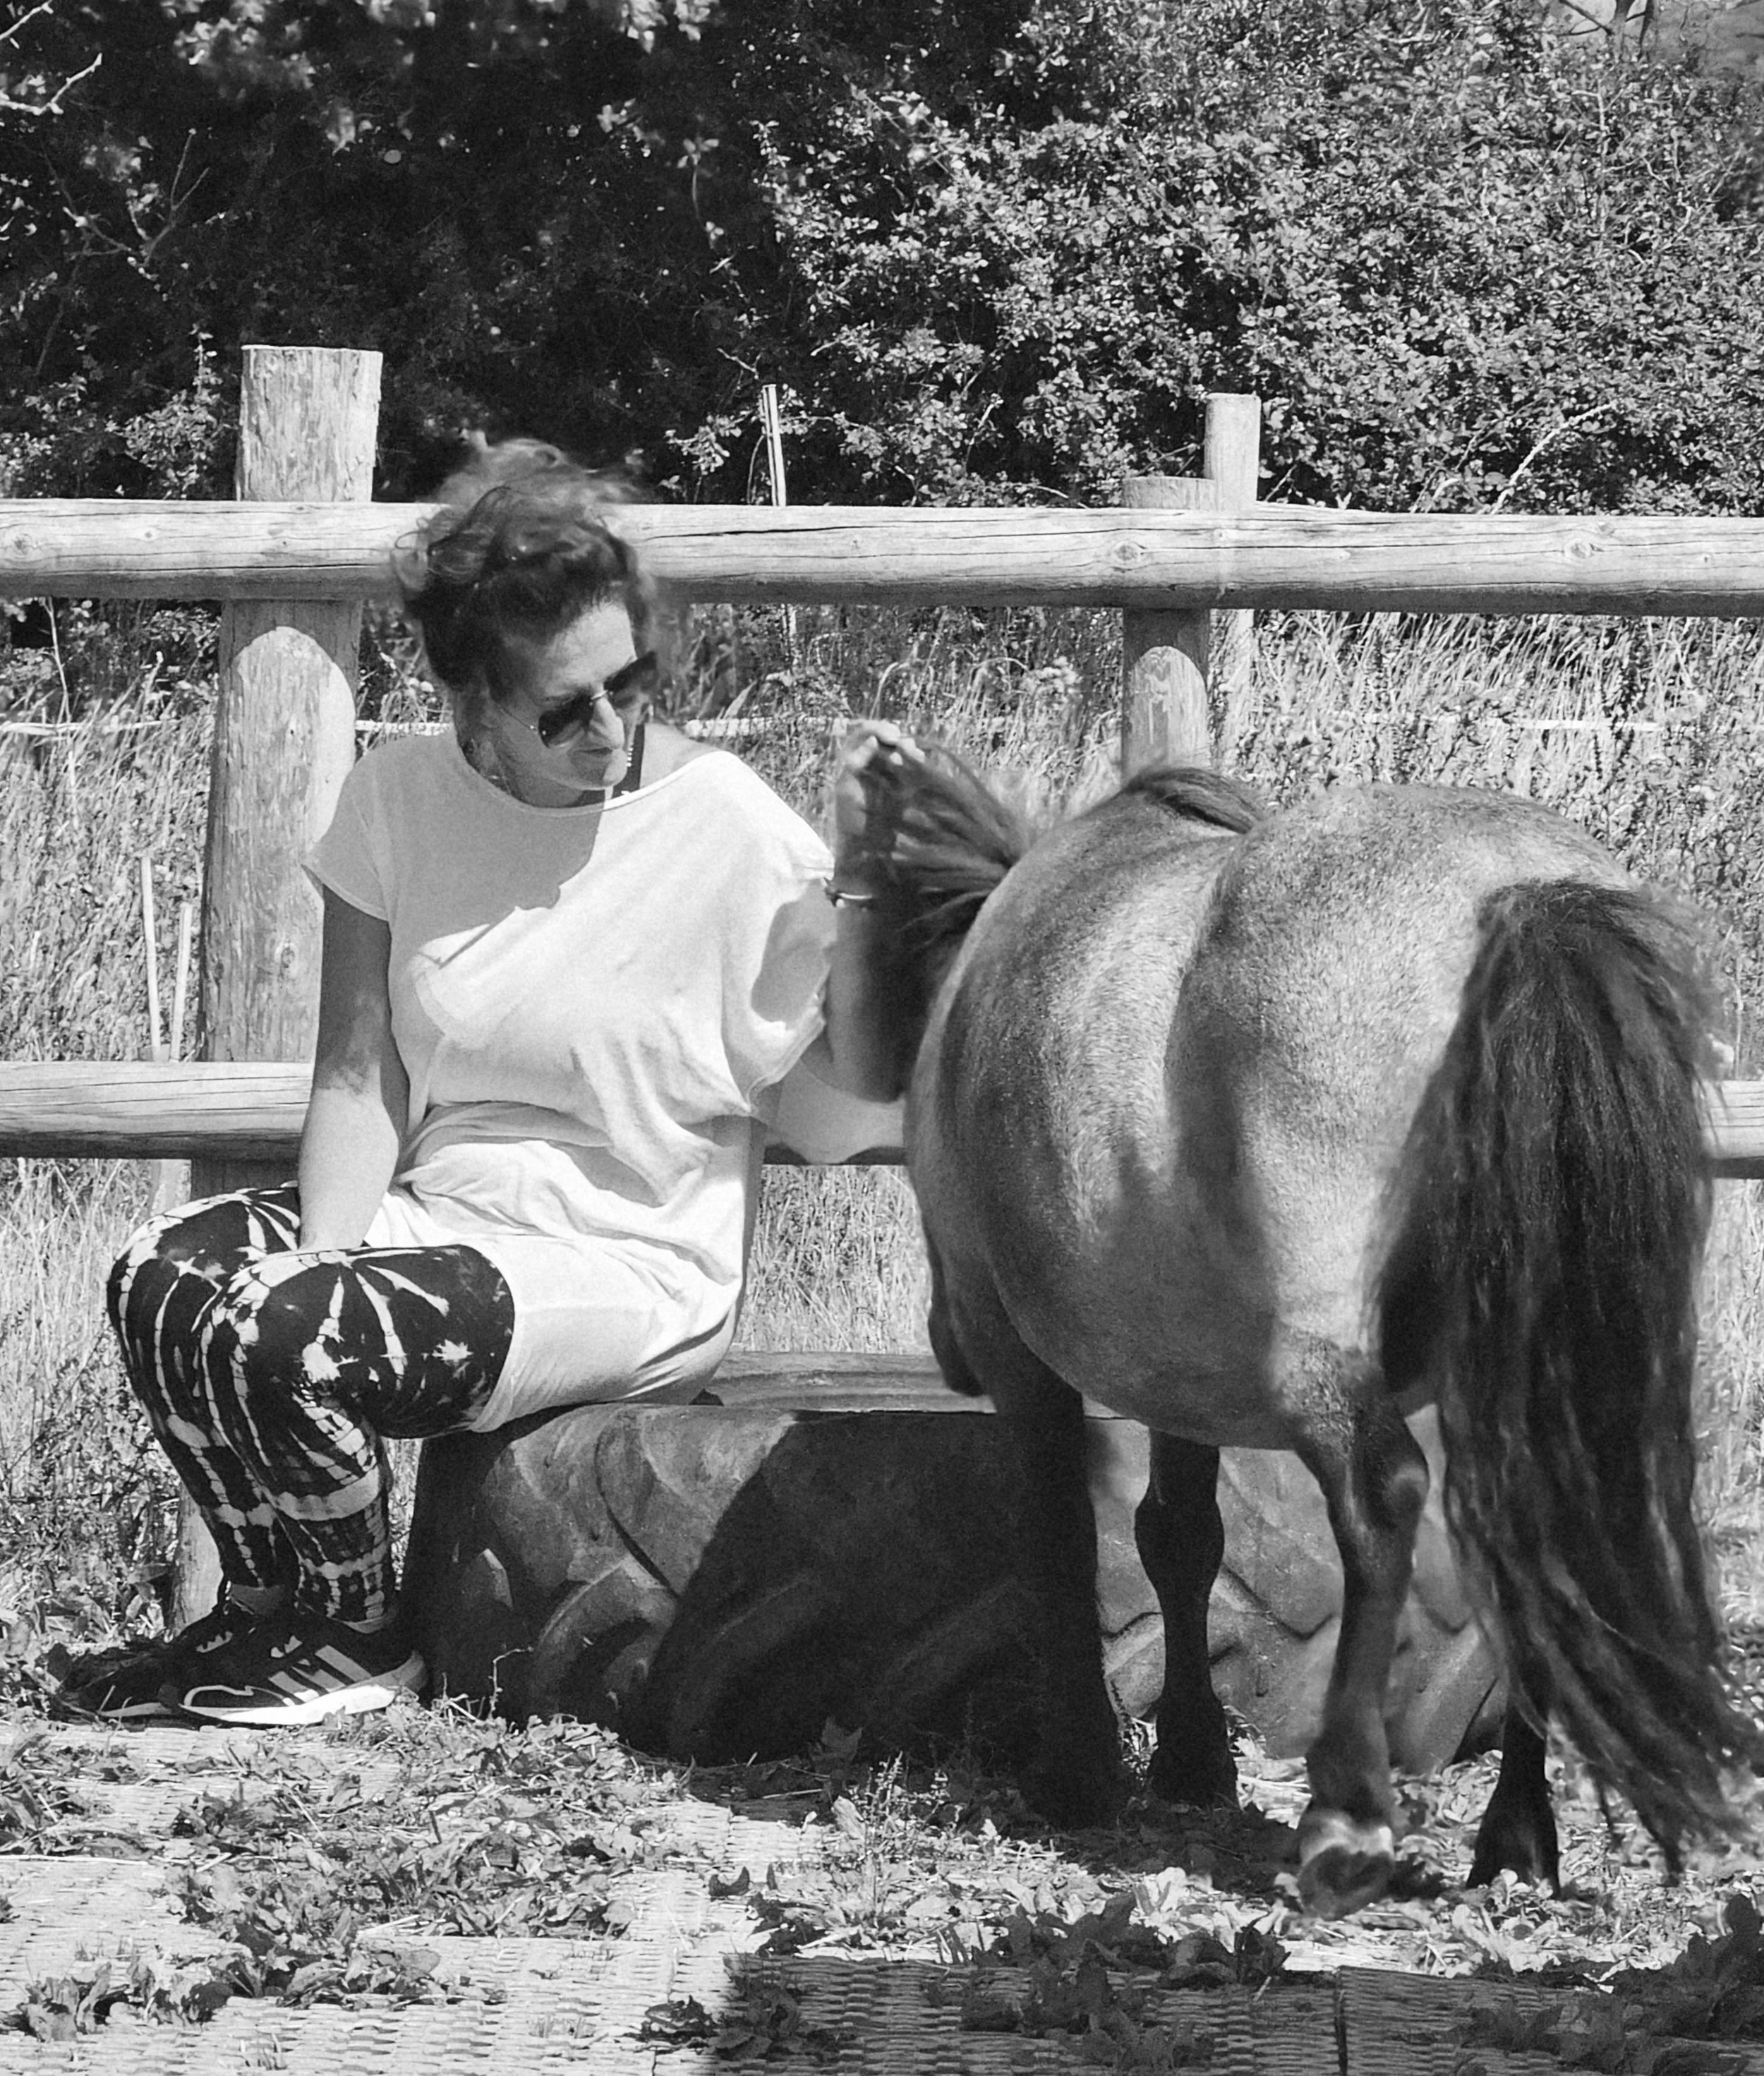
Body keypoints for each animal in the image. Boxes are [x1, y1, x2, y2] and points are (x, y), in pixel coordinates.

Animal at [849, 747, 1761, 1918]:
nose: (943, 1344)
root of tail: (1520, 893)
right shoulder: (1179, 1372)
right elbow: (1179, 1538)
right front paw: (1192, 1759)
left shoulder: (1026, 1360)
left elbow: (1062, 1536)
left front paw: (1080, 1774)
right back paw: (1516, 1836)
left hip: (1327, 1370)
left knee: (1383, 1506)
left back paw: (1348, 1810)